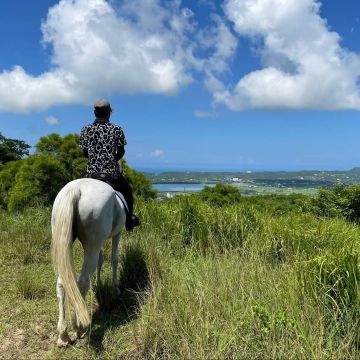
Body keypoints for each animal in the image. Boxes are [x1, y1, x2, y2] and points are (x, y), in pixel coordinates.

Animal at [50, 179, 126, 348]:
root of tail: (76, 189)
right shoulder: (117, 234)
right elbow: (114, 258)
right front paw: (115, 288)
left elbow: (101, 261)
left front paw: (98, 283)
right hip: (92, 245)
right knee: (82, 282)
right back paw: (80, 328)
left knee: (61, 283)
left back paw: (63, 335)